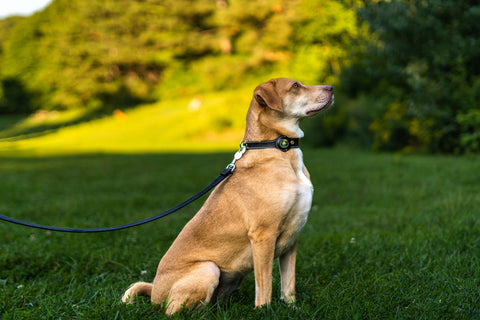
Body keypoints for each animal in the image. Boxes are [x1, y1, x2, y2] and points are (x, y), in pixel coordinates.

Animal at [121, 78, 334, 316]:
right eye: (295, 86)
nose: (331, 88)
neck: (281, 150)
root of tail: (154, 294)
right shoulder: (263, 235)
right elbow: (265, 285)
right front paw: (264, 311)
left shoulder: (292, 239)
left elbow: (288, 284)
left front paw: (292, 308)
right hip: (208, 268)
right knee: (174, 311)